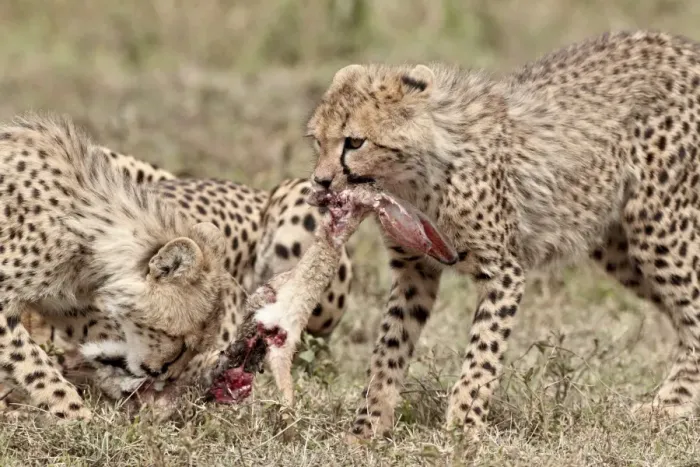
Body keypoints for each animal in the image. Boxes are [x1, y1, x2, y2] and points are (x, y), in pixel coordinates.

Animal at [306, 29, 700, 440]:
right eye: (318, 140)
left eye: (354, 142)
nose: (320, 181)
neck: (416, 177)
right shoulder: (414, 270)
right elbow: (389, 345)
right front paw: (366, 428)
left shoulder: (504, 271)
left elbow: (483, 351)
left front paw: (463, 428)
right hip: (619, 248)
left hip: (658, 225)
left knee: (693, 312)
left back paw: (670, 404)